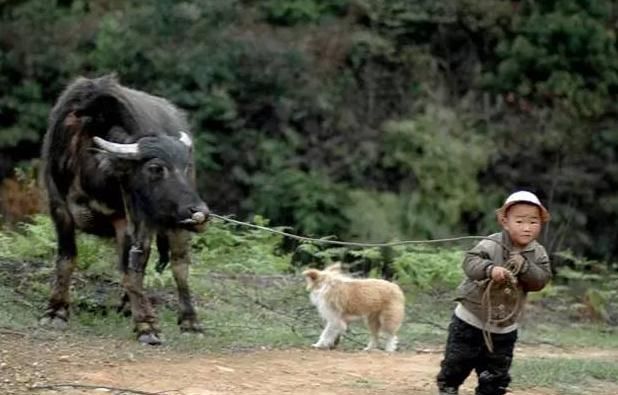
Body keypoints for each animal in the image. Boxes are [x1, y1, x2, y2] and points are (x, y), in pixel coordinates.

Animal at [41, 76, 211, 344]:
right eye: (155, 167)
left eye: (185, 166)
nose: (201, 213)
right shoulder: (60, 210)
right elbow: (66, 260)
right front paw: (56, 310)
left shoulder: (128, 220)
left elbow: (132, 272)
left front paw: (146, 325)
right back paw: (127, 305)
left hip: (174, 226)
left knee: (179, 266)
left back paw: (190, 322)